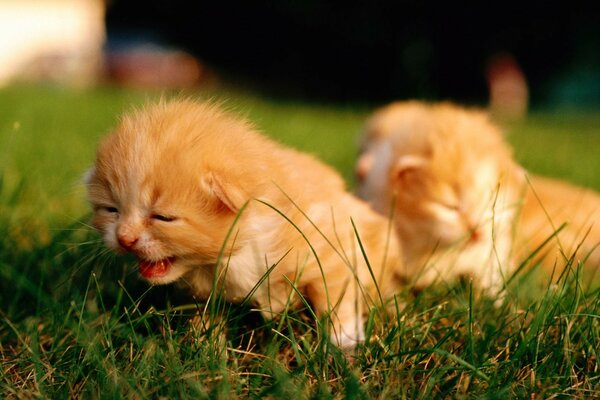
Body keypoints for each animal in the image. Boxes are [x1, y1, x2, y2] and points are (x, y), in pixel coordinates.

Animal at [85, 98, 404, 348]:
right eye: (111, 210)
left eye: (163, 217)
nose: (124, 238)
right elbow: (208, 314)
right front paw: (203, 343)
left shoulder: (332, 244)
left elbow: (336, 297)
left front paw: (343, 342)